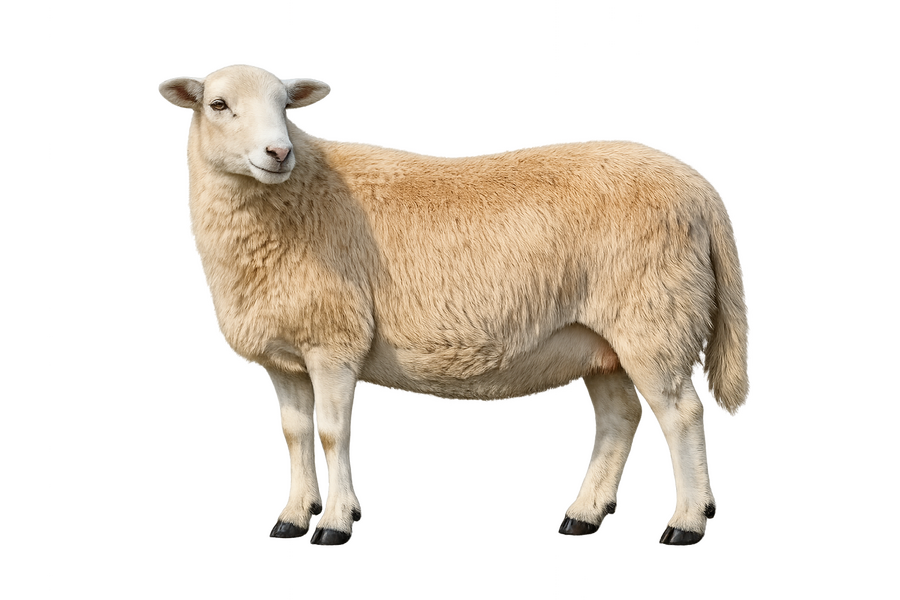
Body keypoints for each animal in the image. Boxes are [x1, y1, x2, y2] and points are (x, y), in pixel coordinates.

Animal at [156, 61, 752, 549]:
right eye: (218, 104)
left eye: (285, 105)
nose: (278, 152)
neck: (297, 197)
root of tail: (701, 186)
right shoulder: (284, 353)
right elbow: (295, 434)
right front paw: (291, 518)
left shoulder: (335, 339)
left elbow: (332, 432)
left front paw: (336, 524)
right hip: (604, 336)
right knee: (619, 417)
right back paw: (583, 515)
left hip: (656, 315)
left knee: (681, 413)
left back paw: (687, 523)